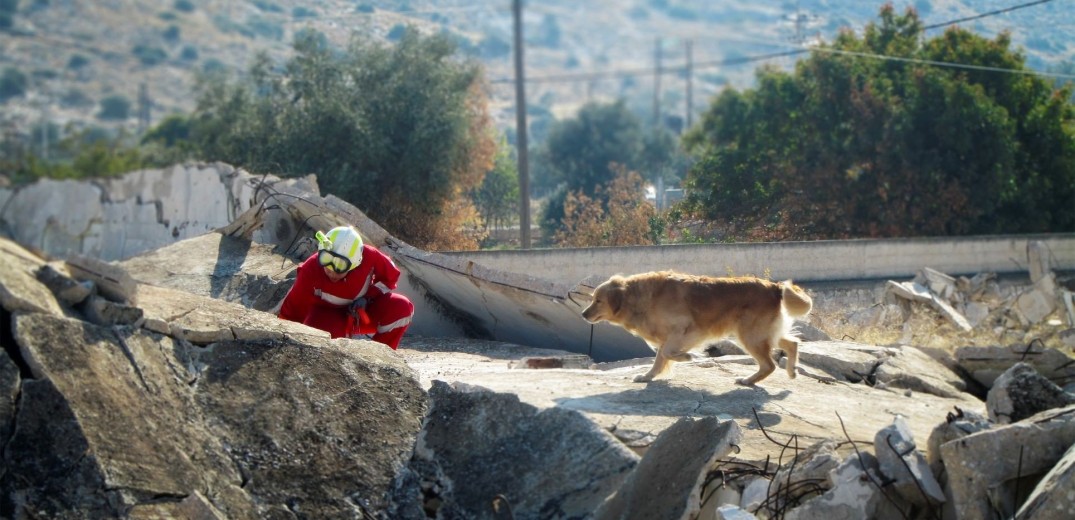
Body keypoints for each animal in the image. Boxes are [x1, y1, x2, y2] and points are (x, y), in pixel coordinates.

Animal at [584, 271, 808, 386]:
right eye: (592, 299)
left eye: (598, 301)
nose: (584, 314)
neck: (639, 296)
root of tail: (775, 286)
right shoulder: (668, 336)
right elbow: (659, 360)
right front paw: (648, 376)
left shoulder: (687, 329)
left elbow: (667, 353)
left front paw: (687, 357)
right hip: (761, 333)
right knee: (793, 343)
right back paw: (792, 371)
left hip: (750, 335)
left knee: (769, 365)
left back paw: (748, 380)